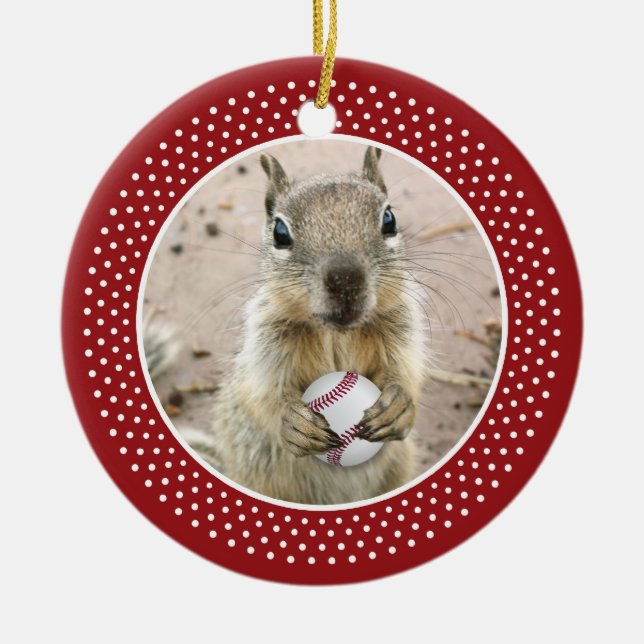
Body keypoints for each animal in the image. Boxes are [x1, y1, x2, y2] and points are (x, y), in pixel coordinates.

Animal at [153, 146, 429, 505]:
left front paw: (398, 405)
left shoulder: (401, 328)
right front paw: (293, 422)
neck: (337, 333)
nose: (345, 280)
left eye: (389, 220)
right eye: (280, 233)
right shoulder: (265, 343)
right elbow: (263, 394)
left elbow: (406, 373)